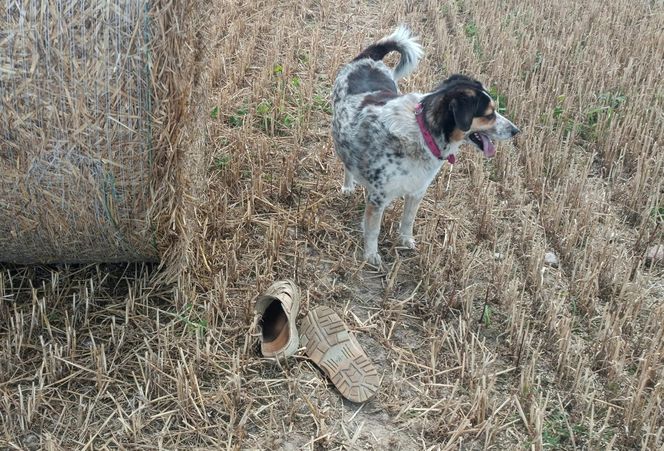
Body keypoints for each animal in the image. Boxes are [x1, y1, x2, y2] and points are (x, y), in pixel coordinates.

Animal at [332, 26, 520, 266]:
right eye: (489, 115)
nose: (515, 131)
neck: (423, 132)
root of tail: (369, 58)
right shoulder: (378, 198)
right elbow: (373, 231)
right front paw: (371, 256)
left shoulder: (417, 190)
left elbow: (408, 221)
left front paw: (406, 241)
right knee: (347, 162)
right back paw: (348, 186)